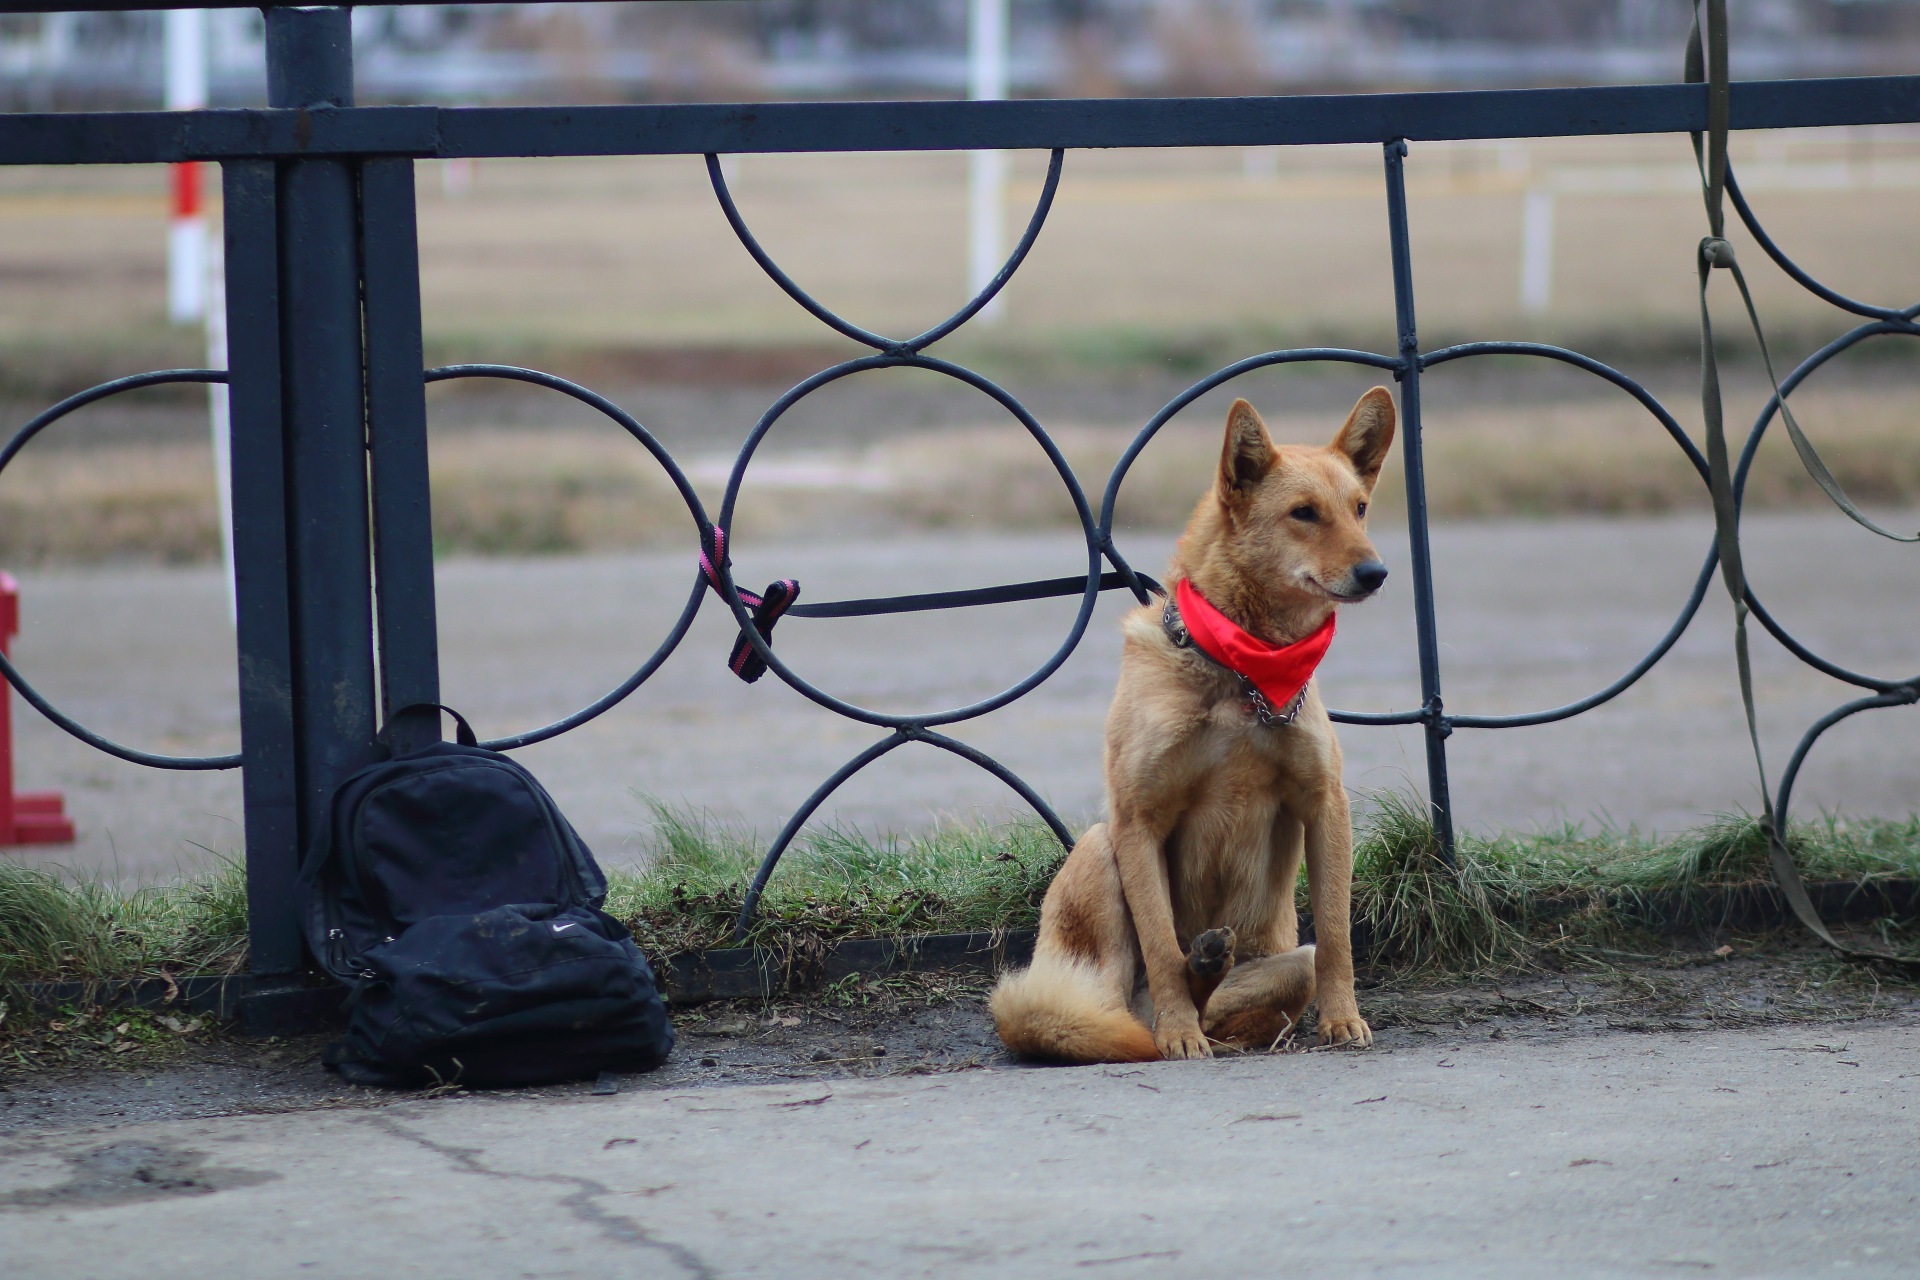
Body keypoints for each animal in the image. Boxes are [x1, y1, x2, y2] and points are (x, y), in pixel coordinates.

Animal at [990, 388, 1396, 1062]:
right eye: (1304, 514)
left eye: (1360, 509)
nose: (1376, 574)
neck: (1242, 670)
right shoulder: (1140, 820)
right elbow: (1160, 945)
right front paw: (1179, 1031)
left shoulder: (1324, 805)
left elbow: (1338, 937)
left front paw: (1343, 1020)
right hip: (1100, 852)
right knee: (1117, 1006)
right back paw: (1170, 1019)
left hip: (1289, 963)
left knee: (1257, 987)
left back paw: (1209, 969)